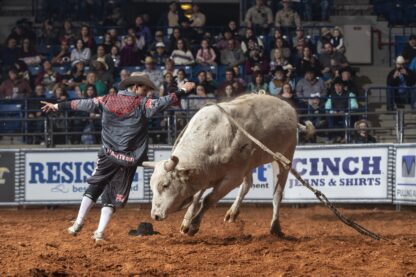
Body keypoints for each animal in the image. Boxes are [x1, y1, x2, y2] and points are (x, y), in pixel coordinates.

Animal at [143, 93, 312, 235]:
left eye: (165, 185)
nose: (155, 215)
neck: (212, 141)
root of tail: (289, 109)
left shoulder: (232, 178)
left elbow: (208, 199)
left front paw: (193, 225)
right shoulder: (205, 173)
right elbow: (197, 196)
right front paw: (186, 222)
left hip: (284, 155)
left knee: (277, 193)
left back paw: (275, 226)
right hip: (250, 164)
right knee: (247, 184)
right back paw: (233, 212)